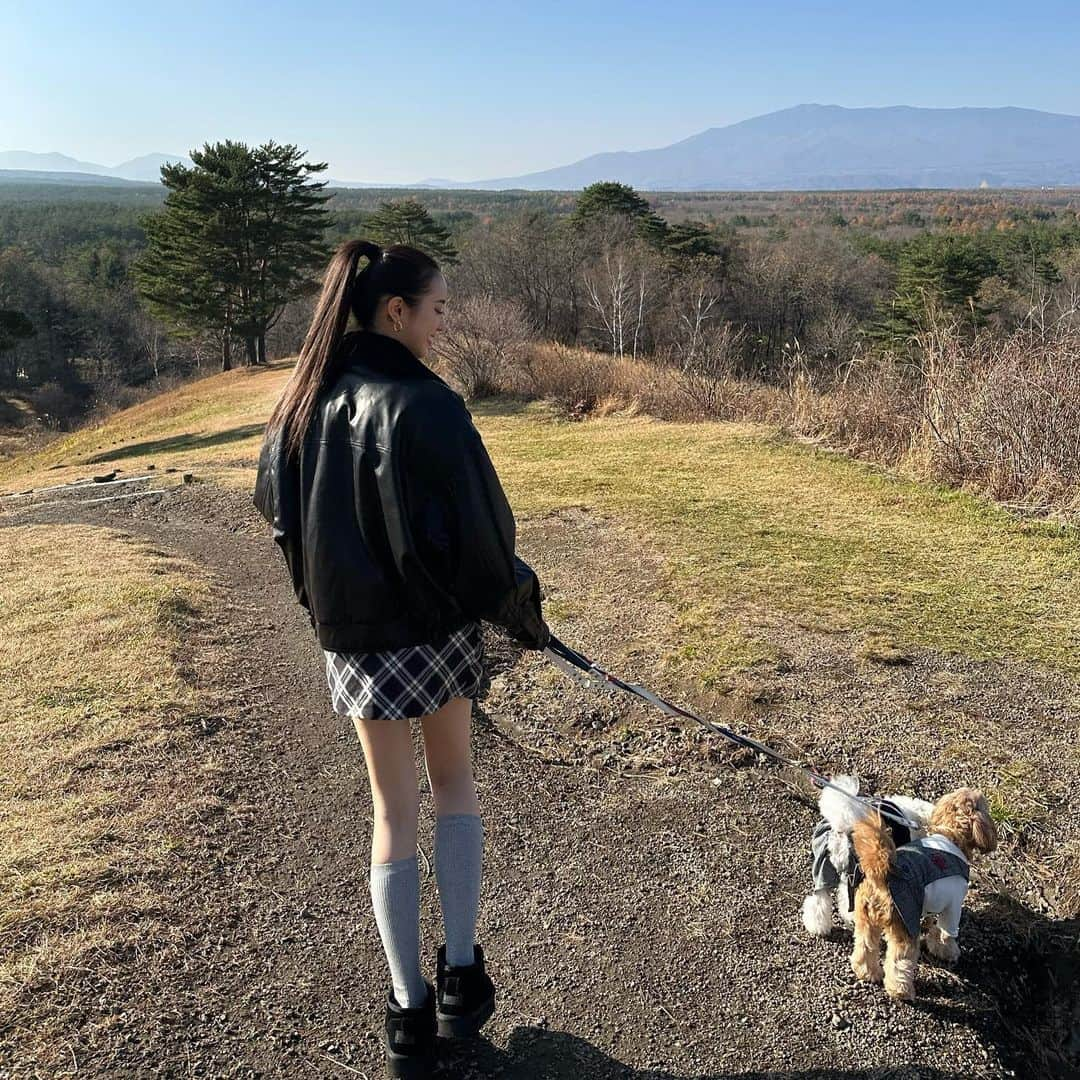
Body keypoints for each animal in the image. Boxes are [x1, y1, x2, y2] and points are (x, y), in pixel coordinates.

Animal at [803, 777, 937, 937]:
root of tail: (839, 833)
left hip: (823, 869)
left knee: (819, 900)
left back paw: (817, 927)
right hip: (854, 873)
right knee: (846, 903)